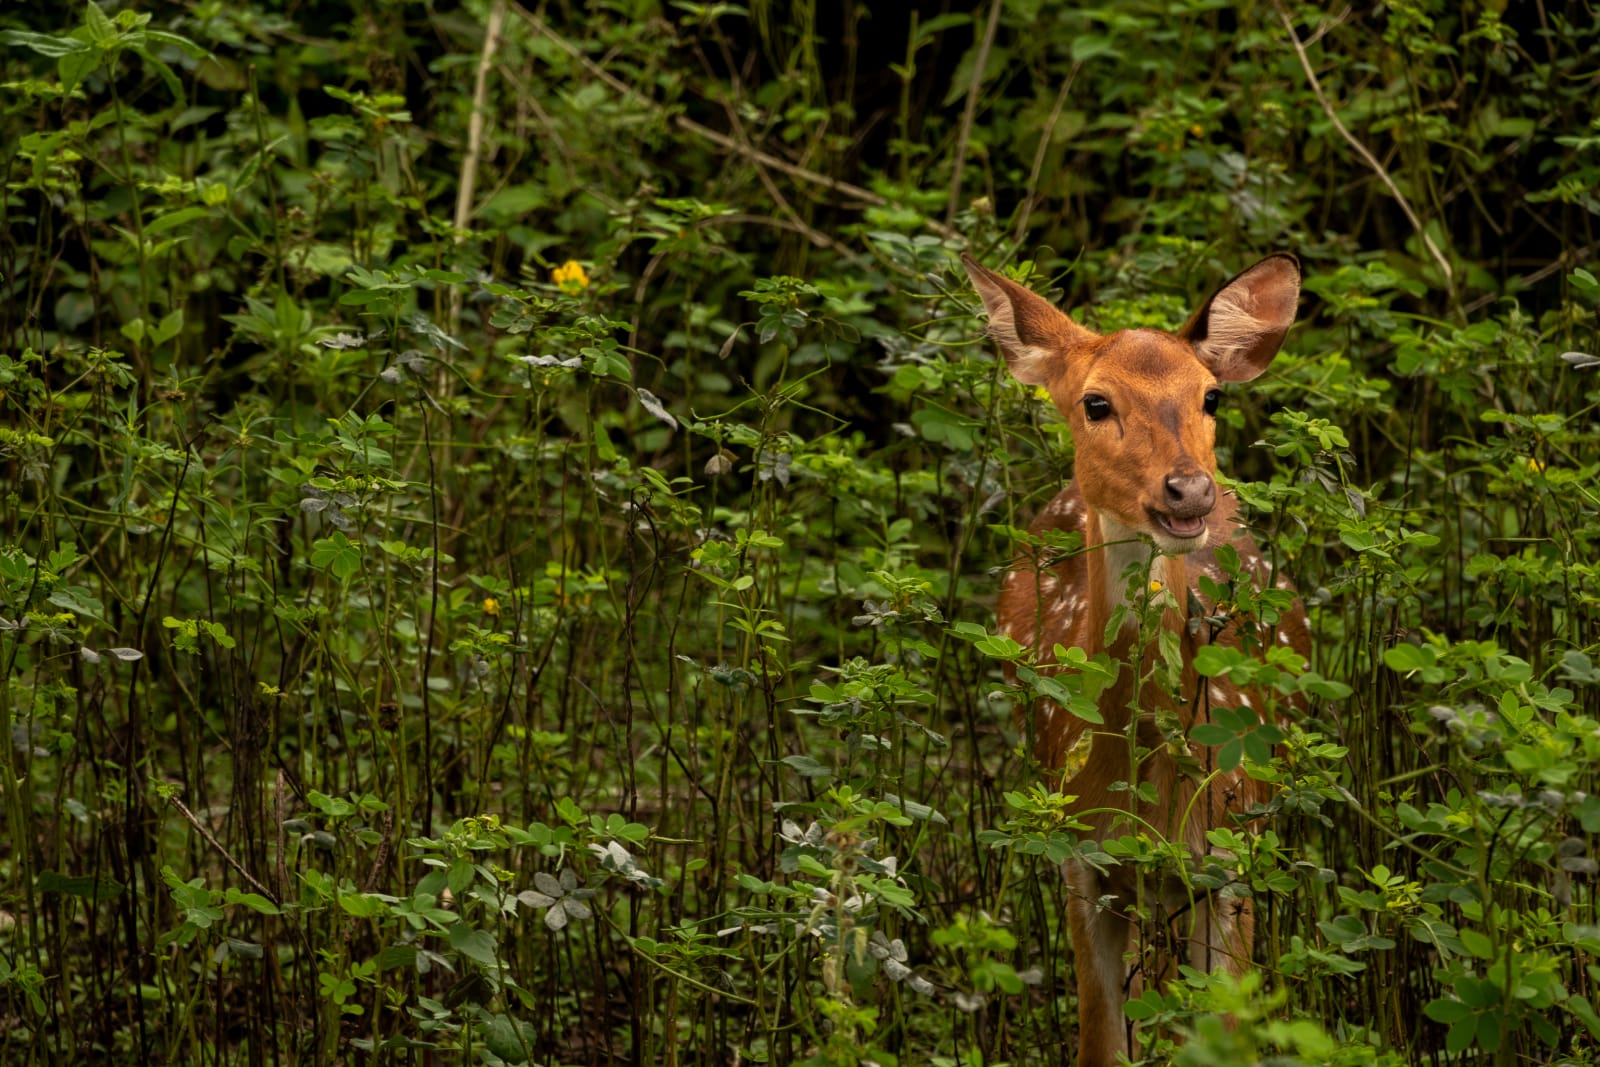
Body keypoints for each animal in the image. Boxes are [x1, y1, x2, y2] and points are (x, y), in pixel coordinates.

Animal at [961, 252, 1312, 1067]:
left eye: (1210, 394)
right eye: (1095, 402)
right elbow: (1100, 1042)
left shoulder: (1231, 860)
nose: (1188, 490)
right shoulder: (1079, 860)